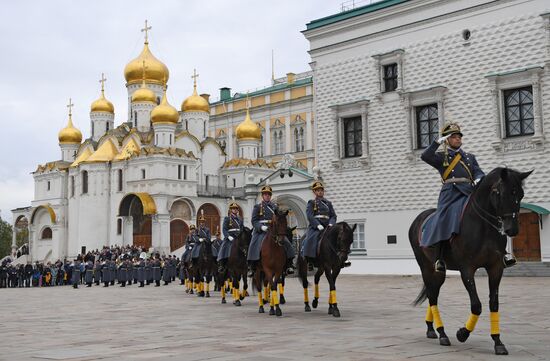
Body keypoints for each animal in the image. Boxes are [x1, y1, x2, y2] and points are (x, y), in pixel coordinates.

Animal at [412, 168, 532, 354]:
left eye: (521, 194)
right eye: (500, 193)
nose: (512, 229)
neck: (484, 226)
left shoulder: (496, 268)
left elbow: (494, 303)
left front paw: (498, 341)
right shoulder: (467, 269)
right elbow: (476, 305)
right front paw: (462, 333)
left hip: (439, 273)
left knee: (434, 294)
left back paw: (432, 329)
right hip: (426, 267)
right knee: (432, 297)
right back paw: (442, 333)